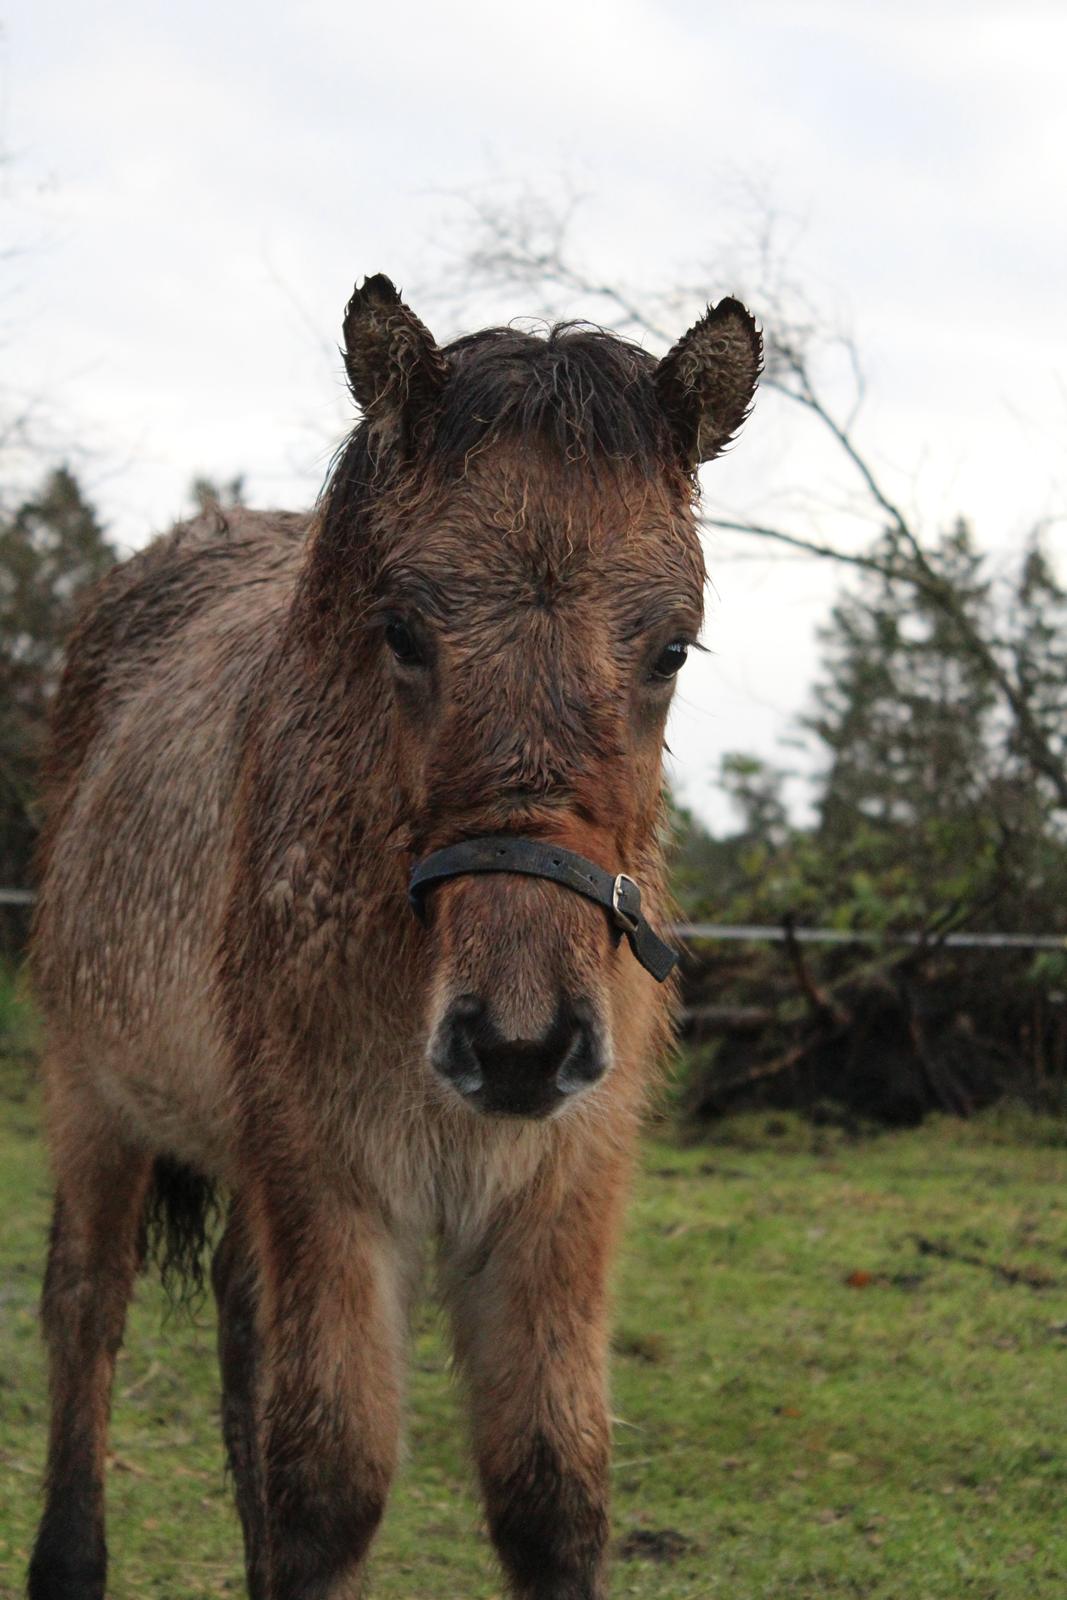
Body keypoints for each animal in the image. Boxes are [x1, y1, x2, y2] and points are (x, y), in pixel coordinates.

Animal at [27, 275, 758, 1600]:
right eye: (403, 631)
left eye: (670, 647)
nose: (519, 1044)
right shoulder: (332, 1183)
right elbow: (331, 1483)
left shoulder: (558, 1201)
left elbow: (550, 1489)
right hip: (92, 1099)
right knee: (86, 1308)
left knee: (237, 1328)